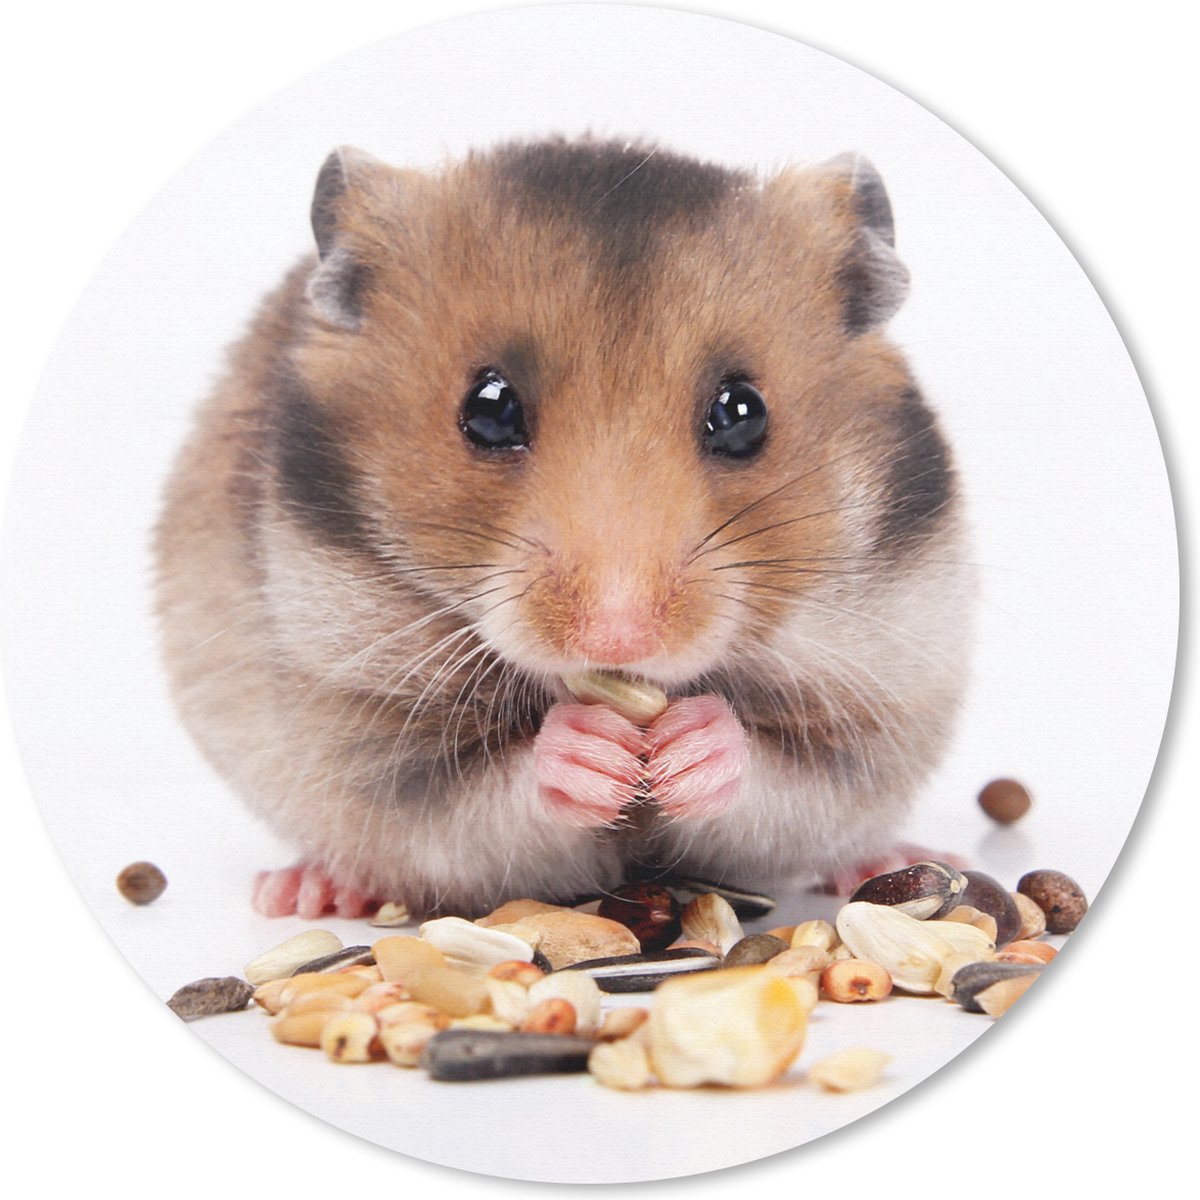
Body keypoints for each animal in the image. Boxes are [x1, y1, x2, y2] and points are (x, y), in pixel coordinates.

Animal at [154, 136, 976, 919]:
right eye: (489, 409)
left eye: (744, 413)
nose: (618, 639)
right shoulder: (360, 724)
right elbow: (485, 796)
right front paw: (592, 753)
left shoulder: (881, 692)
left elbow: (787, 780)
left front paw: (690, 745)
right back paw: (307, 892)